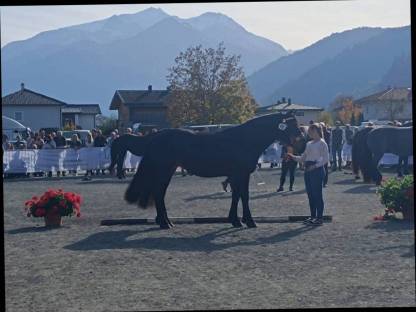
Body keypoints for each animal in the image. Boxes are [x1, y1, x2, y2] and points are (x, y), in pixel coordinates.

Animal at [125, 112, 304, 229]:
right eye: (292, 124)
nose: (302, 143)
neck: (245, 140)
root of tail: (157, 136)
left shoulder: (236, 175)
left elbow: (236, 196)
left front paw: (236, 220)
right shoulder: (242, 174)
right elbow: (244, 196)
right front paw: (249, 221)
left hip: (167, 171)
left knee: (159, 193)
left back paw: (165, 221)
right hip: (164, 171)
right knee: (159, 193)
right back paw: (165, 223)